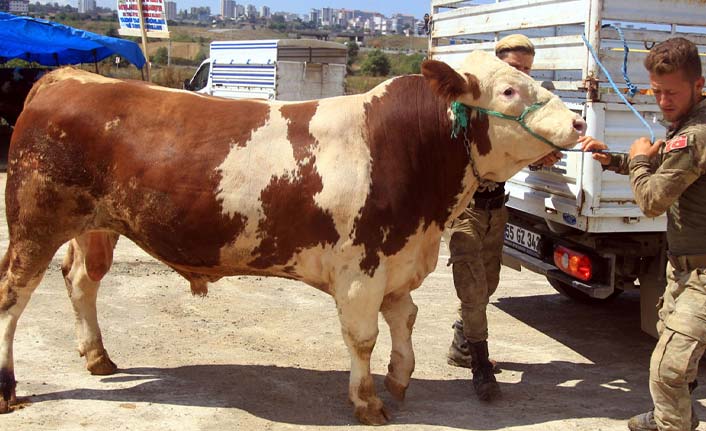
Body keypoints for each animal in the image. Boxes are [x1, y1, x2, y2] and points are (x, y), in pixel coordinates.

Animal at [0, 51, 584, 426]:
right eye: (509, 90)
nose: (578, 122)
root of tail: (66, 79)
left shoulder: (397, 262)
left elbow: (406, 320)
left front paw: (399, 379)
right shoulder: (360, 271)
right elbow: (363, 337)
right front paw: (368, 402)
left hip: (95, 225)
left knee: (82, 280)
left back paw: (97, 356)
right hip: (34, 224)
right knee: (13, 297)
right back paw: (9, 389)